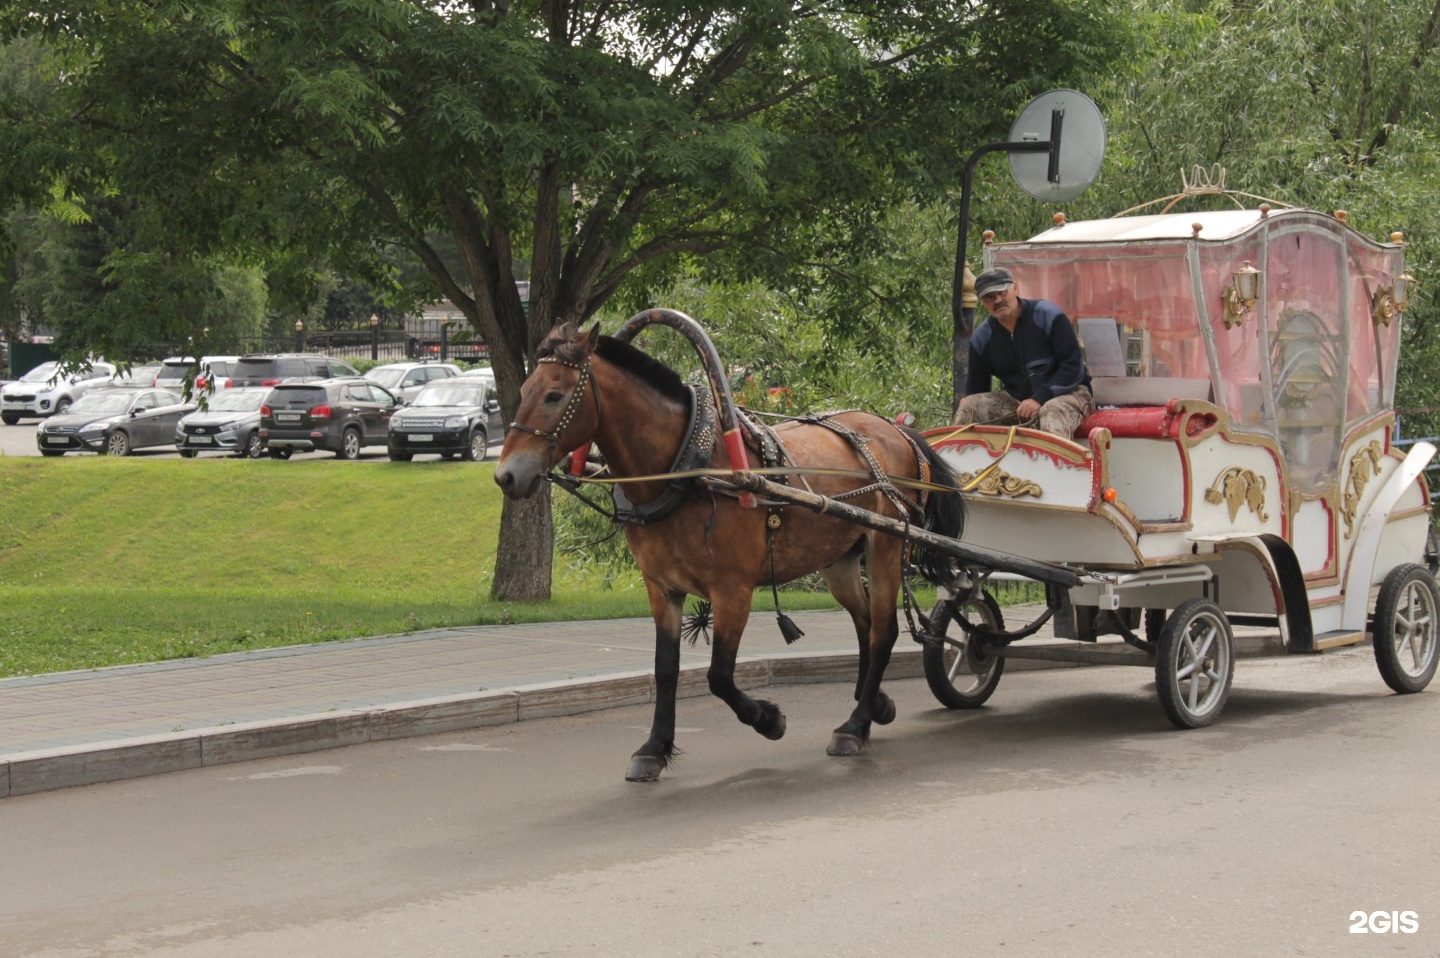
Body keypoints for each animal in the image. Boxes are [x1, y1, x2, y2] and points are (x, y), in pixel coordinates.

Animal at [498, 321, 967, 777]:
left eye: (555, 395)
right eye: (523, 392)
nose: (506, 476)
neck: (689, 468)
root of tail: (897, 430)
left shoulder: (733, 591)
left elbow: (719, 675)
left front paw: (769, 719)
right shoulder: (662, 589)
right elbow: (665, 669)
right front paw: (654, 748)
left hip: (886, 546)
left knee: (883, 631)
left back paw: (855, 725)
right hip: (839, 560)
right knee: (866, 624)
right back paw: (873, 705)